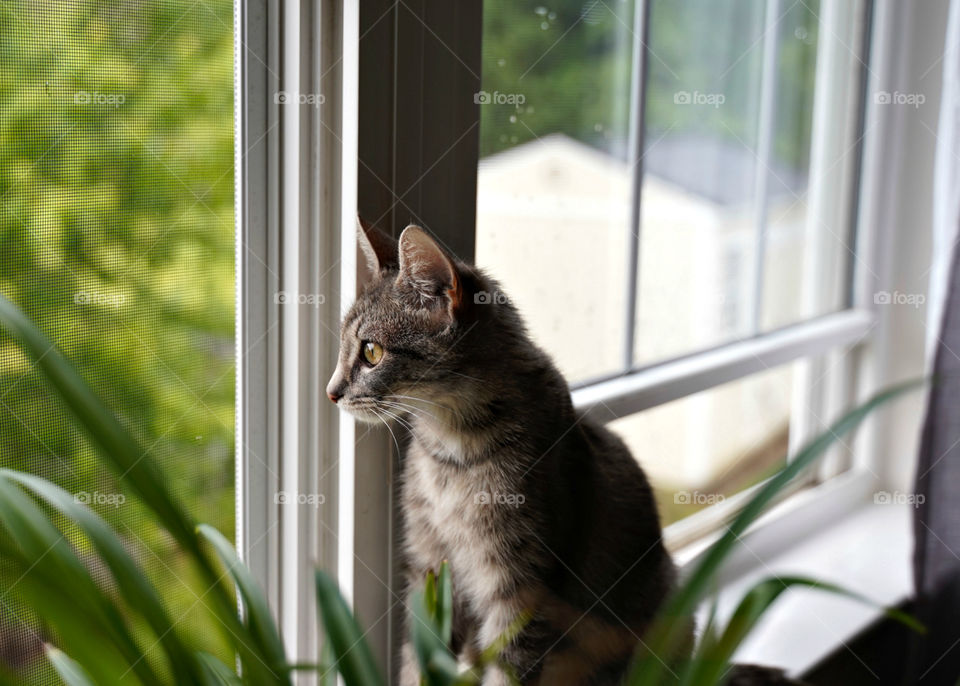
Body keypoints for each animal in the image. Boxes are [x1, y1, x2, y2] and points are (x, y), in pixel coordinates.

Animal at [330, 220, 804, 686]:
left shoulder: (521, 587)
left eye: (371, 351)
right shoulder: (429, 567)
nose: (331, 392)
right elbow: (416, 662)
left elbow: (507, 671)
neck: (450, 453)